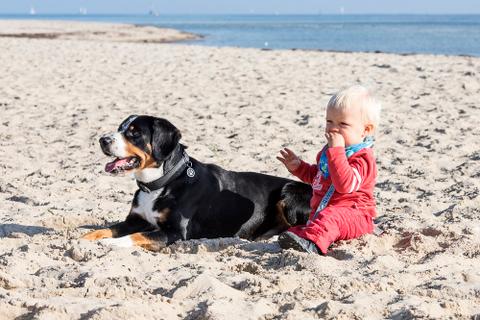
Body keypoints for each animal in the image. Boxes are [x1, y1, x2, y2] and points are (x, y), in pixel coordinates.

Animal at [81, 115, 312, 250]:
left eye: (134, 133)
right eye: (120, 128)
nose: (102, 140)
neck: (159, 184)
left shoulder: (174, 232)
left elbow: (135, 236)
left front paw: (111, 243)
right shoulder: (134, 220)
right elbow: (109, 228)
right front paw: (86, 237)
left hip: (289, 191)